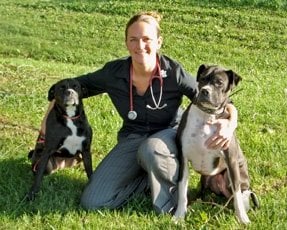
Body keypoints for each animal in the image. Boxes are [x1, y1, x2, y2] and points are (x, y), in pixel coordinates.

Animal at [174, 64, 260, 225]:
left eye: (219, 82)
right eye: (202, 79)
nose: (205, 91)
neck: (208, 115)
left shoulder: (231, 160)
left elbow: (237, 194)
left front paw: (242, 218)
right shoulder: (183, 158)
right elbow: (182, 189)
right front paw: (179, 215)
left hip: (233, 177)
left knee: (239, 194)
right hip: (205, 178)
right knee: (202, 193)